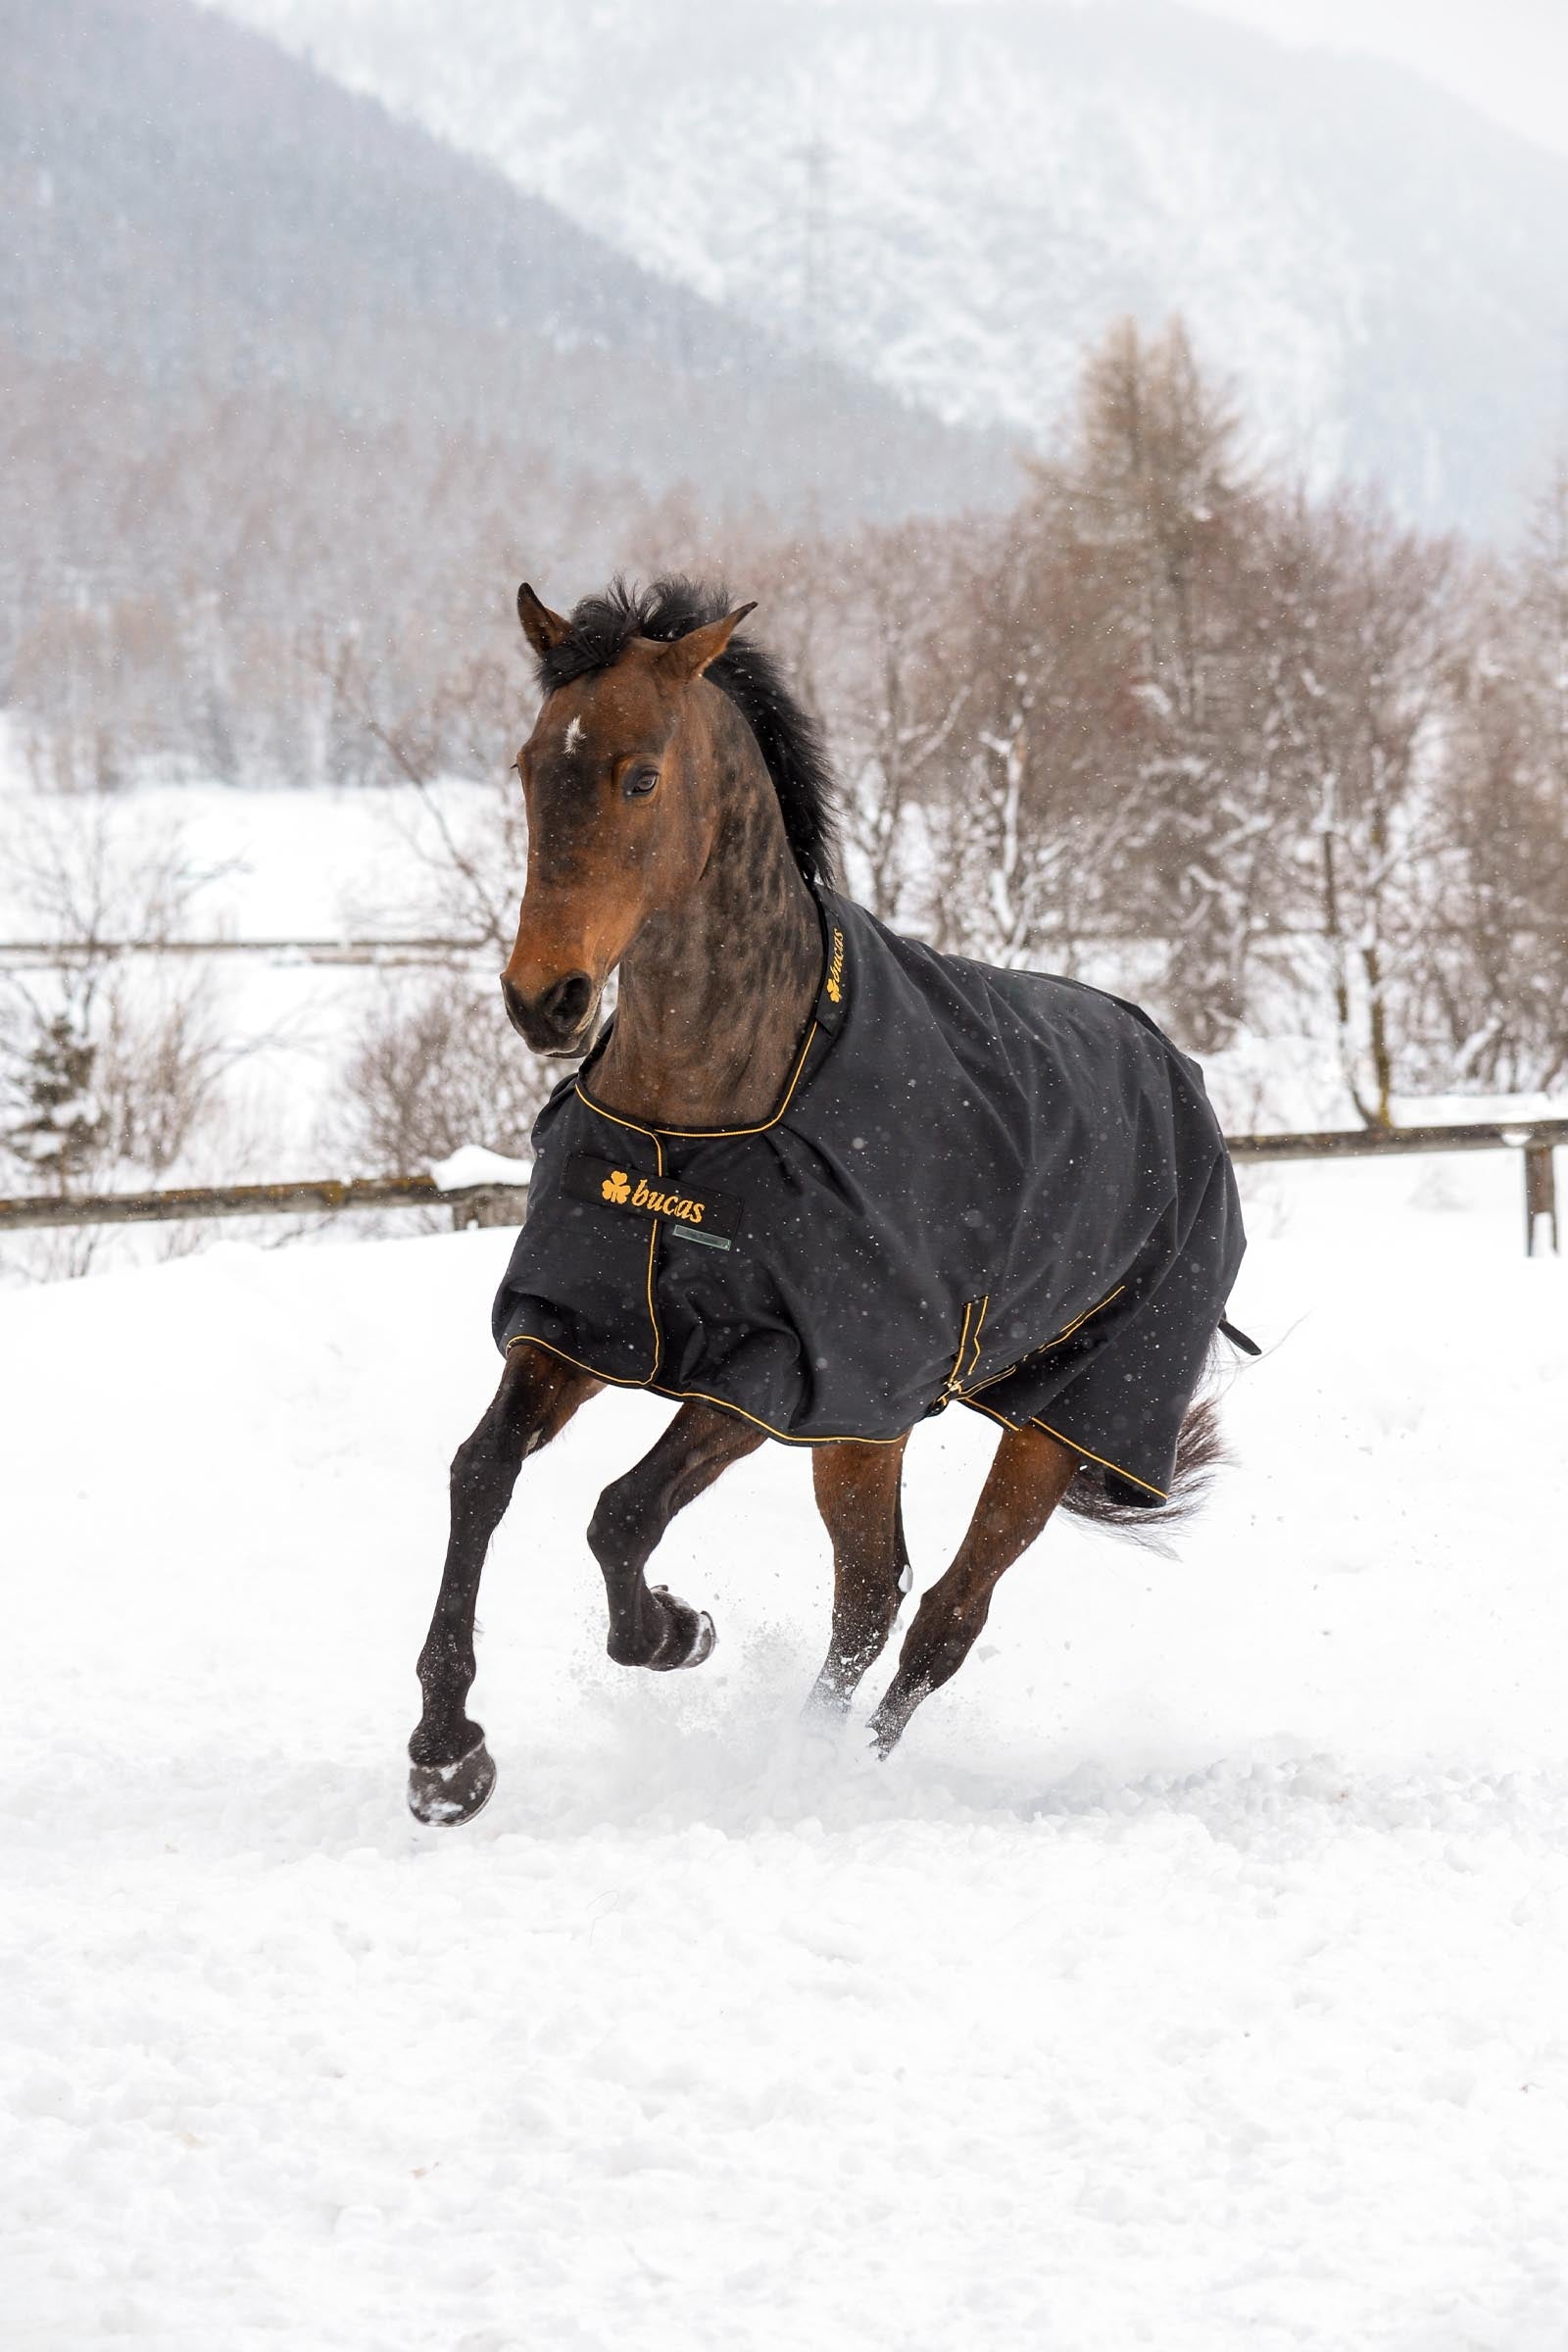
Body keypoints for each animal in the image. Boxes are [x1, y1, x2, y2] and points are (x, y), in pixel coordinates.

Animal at [406, 577, 1248, 1826]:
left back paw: (822, 1780)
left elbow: (620, 1512)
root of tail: (1175, 1072)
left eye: (638, 775)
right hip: (870, 1428)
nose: (542, 999)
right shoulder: (585, 1327)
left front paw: (677, 1633)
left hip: (1052, 1420)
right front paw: (446, 1755)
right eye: (526, 766)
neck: (700, 1122)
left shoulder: (775, 1368)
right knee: (870, 1590)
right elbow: (480, 1476)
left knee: (942, 1616)